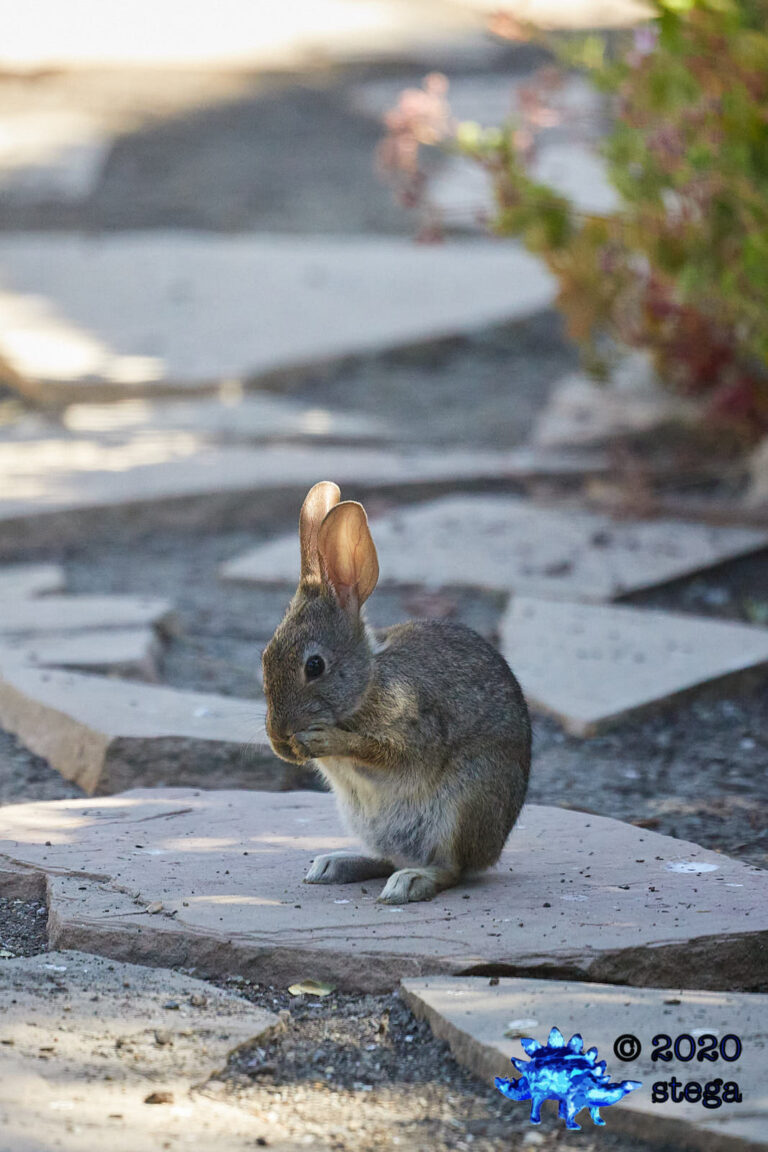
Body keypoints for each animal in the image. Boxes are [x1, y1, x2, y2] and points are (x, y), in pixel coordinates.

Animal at [261, 480, 531, 904]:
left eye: (314, 666)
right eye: (265, 657)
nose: (278, 735)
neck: (368, 681)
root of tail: (492, 851)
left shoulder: (413, 725)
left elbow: (384, 750)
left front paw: (323, 739)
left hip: (464, 804)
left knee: (450, 869)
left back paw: (409, 883)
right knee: (388, 857)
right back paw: (333, 865)